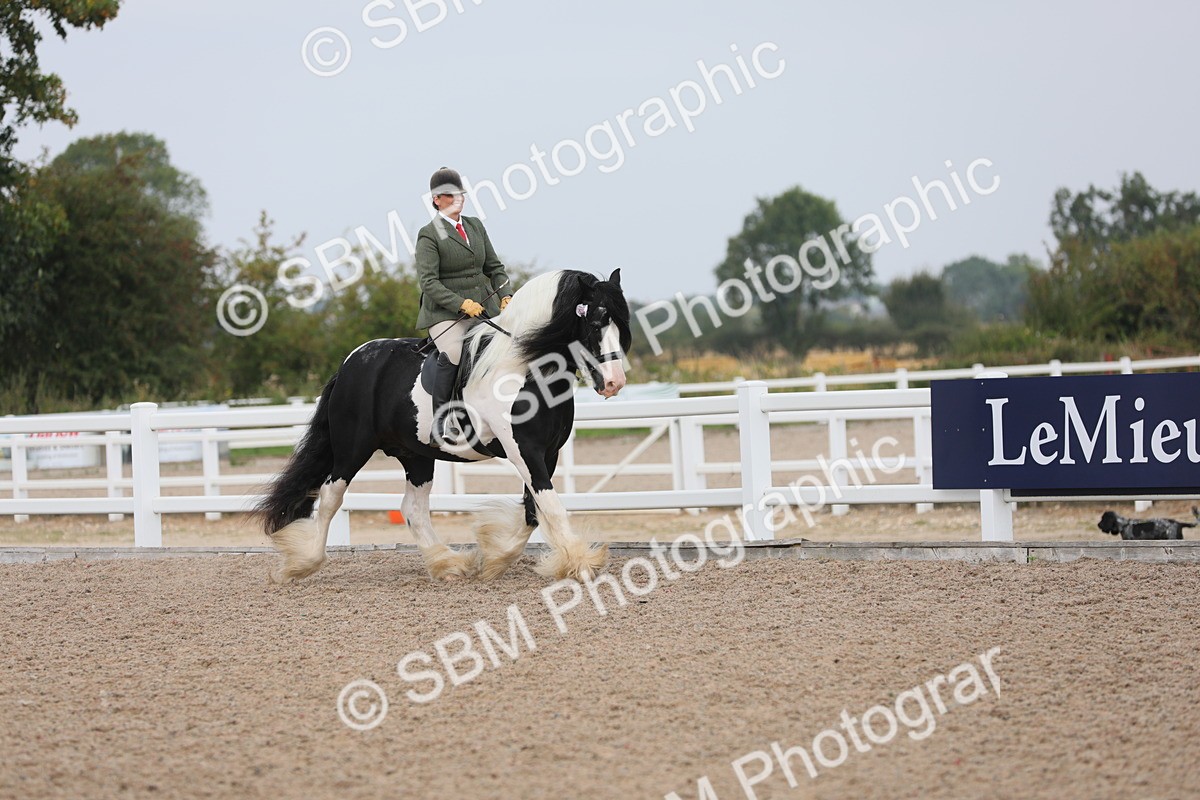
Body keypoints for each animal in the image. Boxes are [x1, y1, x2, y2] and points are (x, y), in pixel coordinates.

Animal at [253, 268, 631, 584]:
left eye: (621, 324)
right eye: (594, 322)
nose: (615, 382)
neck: (525, 369)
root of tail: (350, 363)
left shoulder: (546, 453)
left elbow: (532, 512)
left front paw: (495, 560)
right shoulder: (524, 451)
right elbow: (550, 506)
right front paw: (581, 564)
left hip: (416, 454)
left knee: (413, 509)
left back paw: (447, 564)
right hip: (352, 449)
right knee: (331, 496)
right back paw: (302, 564)